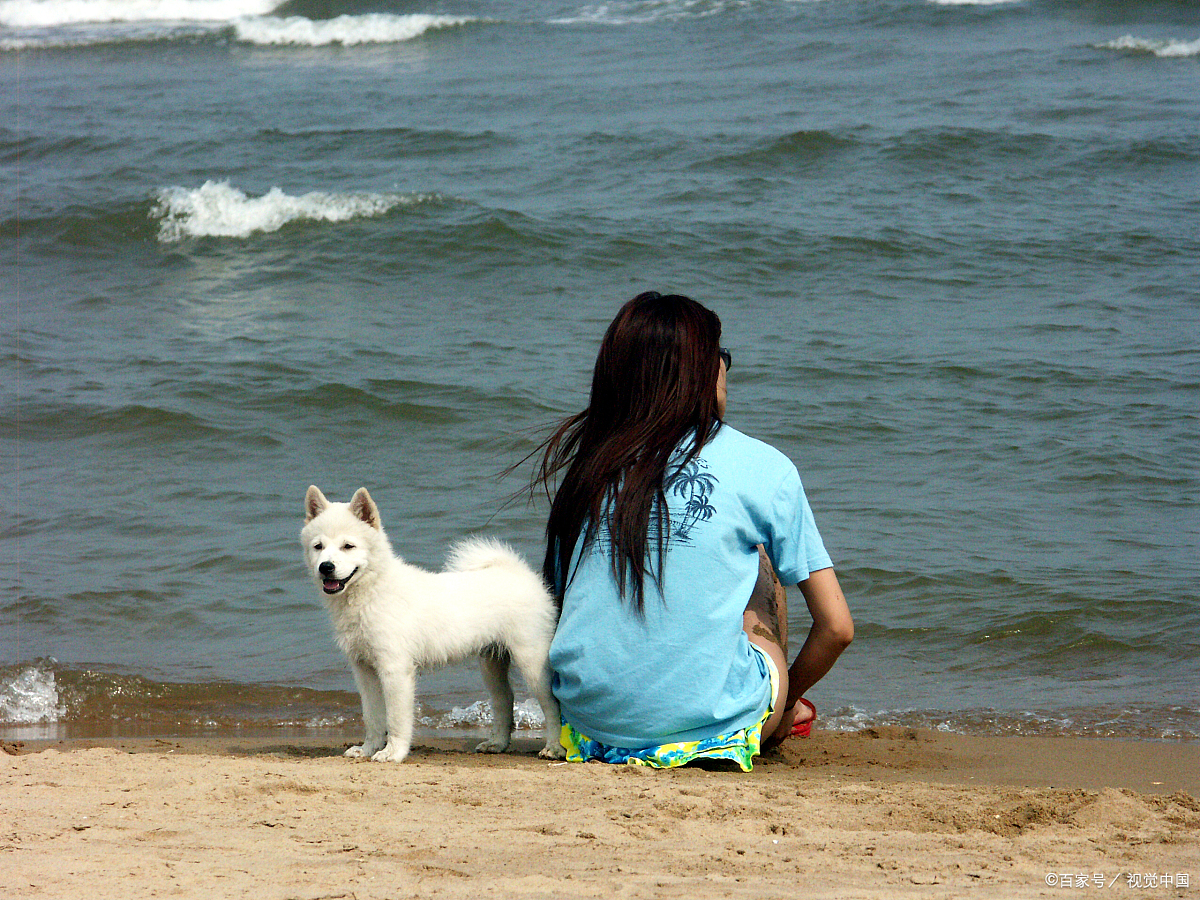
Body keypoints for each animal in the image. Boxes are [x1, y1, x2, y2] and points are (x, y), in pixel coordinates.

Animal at [297, 489, 564, 763]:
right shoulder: (364, 670)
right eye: (318, 547)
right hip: (492, 661)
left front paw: (393, 752)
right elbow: (372, 717)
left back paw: (554, 748)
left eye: (348, 546)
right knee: (504, 699)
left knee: (551, 703)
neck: (372, 591)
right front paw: (368, 749)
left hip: (531, 658)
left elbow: (396, 719)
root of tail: (520, 573)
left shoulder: (395, 669)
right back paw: (497, 743)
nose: (325, 567)